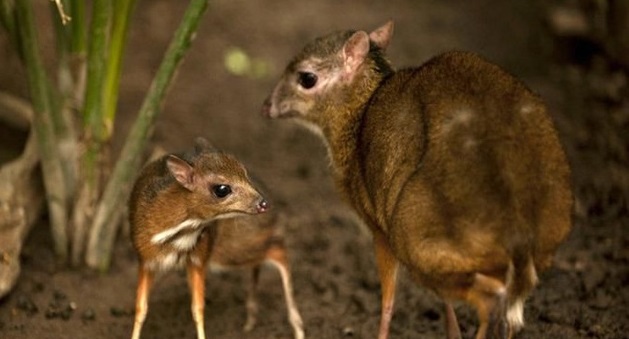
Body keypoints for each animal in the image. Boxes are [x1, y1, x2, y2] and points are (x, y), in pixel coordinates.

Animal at [262, 21, 572, 339]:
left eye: (307, 78)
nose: (266, 106)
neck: (359, 116)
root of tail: (518, 230)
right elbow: (445, 303)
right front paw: (452, 333)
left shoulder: (378, 229)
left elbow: (388, 300)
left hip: (413, 239)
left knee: (490, 301)